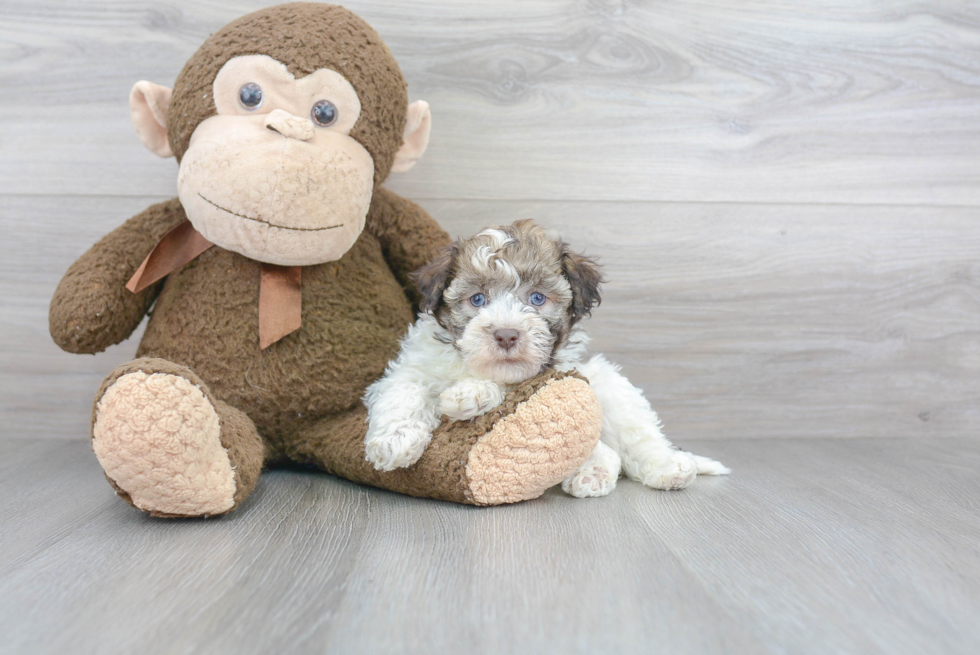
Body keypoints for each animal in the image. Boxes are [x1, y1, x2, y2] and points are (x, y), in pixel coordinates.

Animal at [360, 220, 728, 498]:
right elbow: (405, 390)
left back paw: (660, 468)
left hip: (609, 386)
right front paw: (394, 441)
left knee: (634, 439)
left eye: (537, 298)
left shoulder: (554, 373)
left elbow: (516, 388)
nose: (506, 335)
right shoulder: (410, 367)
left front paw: (470, 394)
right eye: (477, 299)